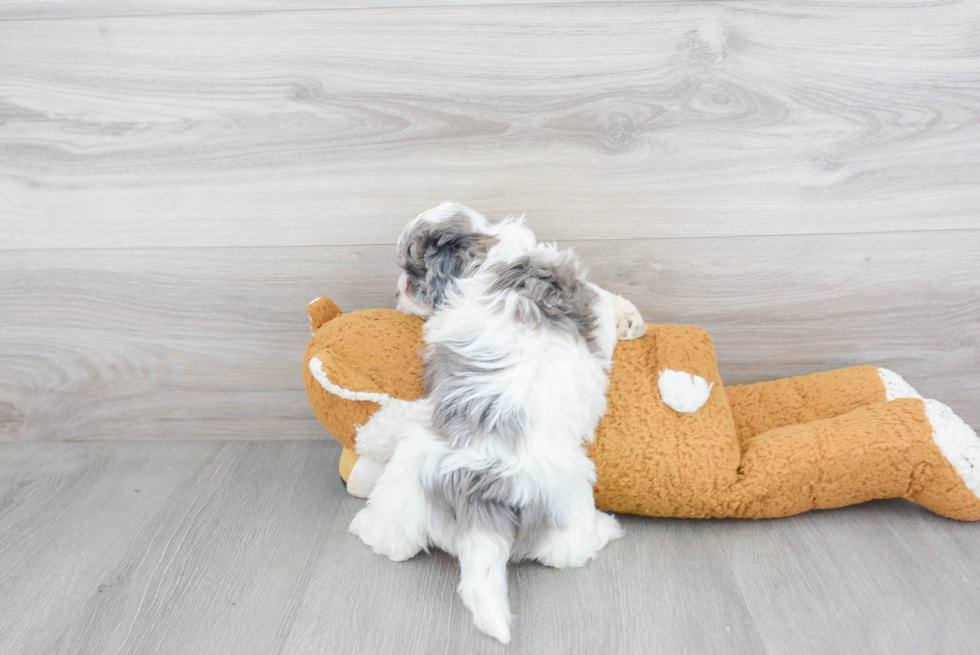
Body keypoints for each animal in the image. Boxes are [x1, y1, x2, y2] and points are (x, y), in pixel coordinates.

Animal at [348, 202, 648, 644]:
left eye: (413, 274)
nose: (396, 292)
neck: (489, 253)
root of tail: (482, 486)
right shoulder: (586, 298)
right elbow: (607, 301)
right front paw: (631, 320)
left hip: (408, 481)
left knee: (394, 539)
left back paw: (365, 527)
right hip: (568, 496)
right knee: (568, 551)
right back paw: (605, 530)